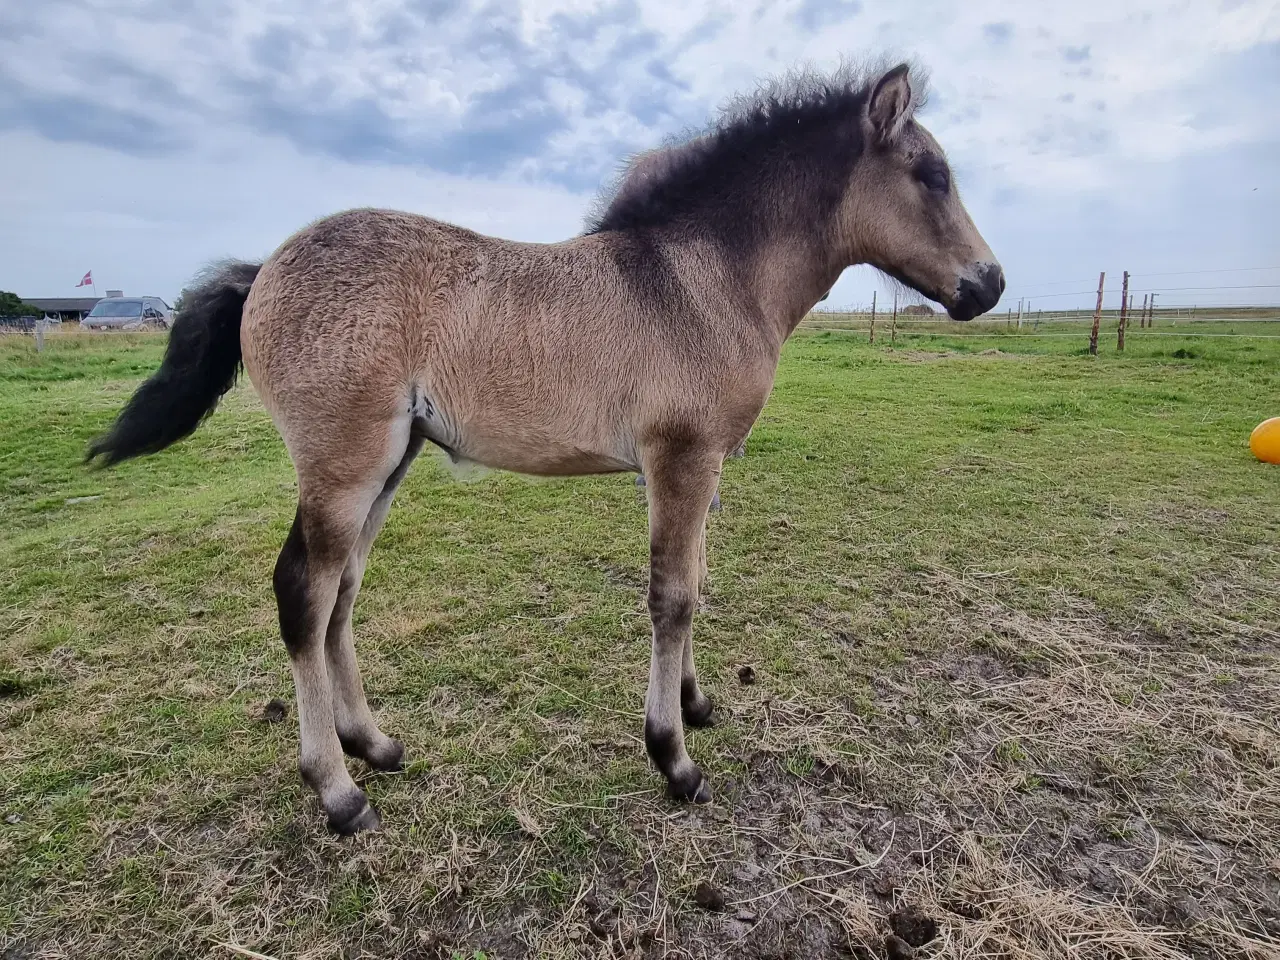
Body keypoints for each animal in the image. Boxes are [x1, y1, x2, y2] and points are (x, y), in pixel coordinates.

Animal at [90, 62, 1008, 834]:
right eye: (931, 175)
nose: (991, 284)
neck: (705, 279)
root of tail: (262, 271)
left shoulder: (702, 466)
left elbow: (698, 580)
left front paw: (695, 704)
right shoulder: (680, 459)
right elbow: (672, 596)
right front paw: (674, 758)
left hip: (387, 465)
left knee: (341, 593)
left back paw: (374, 745)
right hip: (343, 468)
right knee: (303, 595)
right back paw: (338, 790)